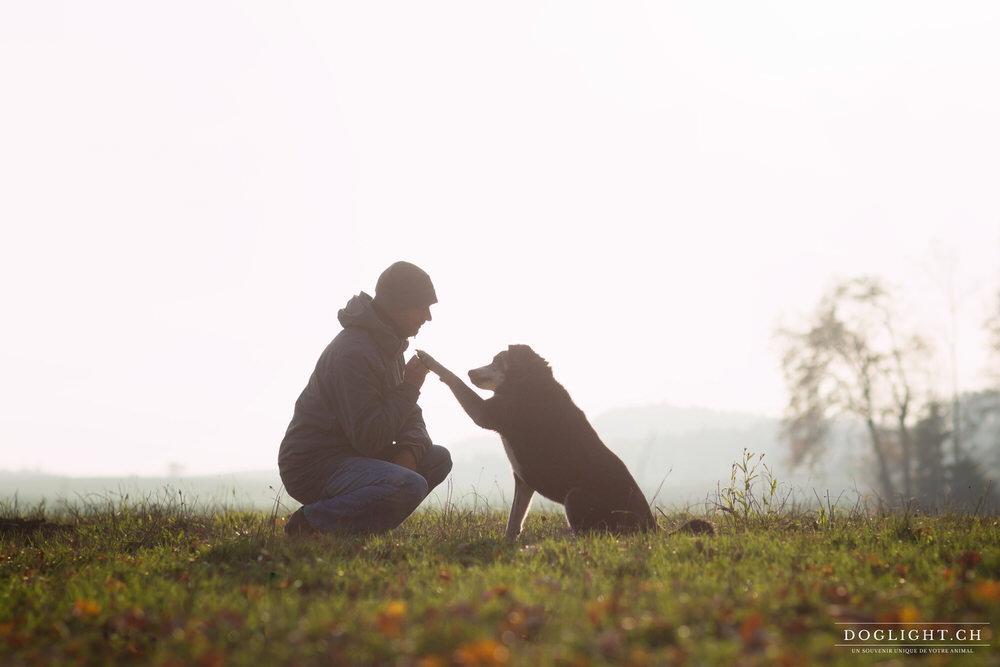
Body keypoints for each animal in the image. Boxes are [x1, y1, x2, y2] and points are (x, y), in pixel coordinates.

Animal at [416, 348, 656, 540]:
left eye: (497, 360)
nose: (471, 372)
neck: (527, 378)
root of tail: (652, 526)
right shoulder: (523, 482)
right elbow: (514, 520)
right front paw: (508, 543)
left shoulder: (485, 413)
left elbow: (454, 378)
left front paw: (430, 360)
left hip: (576, 496)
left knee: (591, 536)